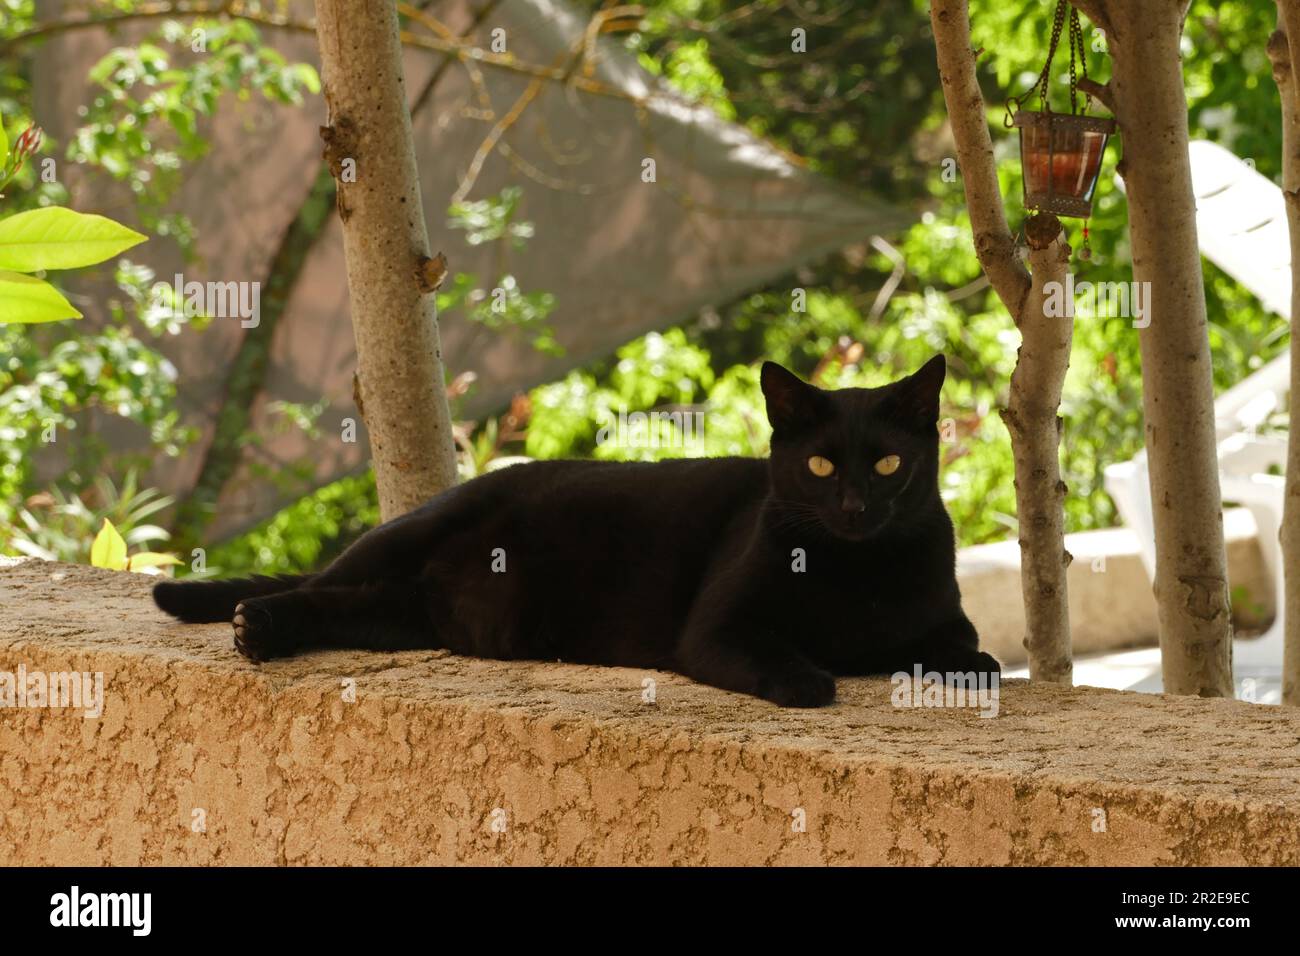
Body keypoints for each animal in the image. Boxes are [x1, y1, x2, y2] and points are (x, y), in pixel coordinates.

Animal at [154, 356, 1003, 707]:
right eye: (822, 466)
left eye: (888, 463)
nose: (856, 507)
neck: (853, 573)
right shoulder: (717, 628)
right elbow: (778, 656)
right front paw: (809, 678)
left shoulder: (944, 615)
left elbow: (971, 650)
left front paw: (956, 665)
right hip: (404, 538)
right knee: (313, 583)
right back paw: (248, 625)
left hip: (399, 613)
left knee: (337, 606)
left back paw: (264, 631)